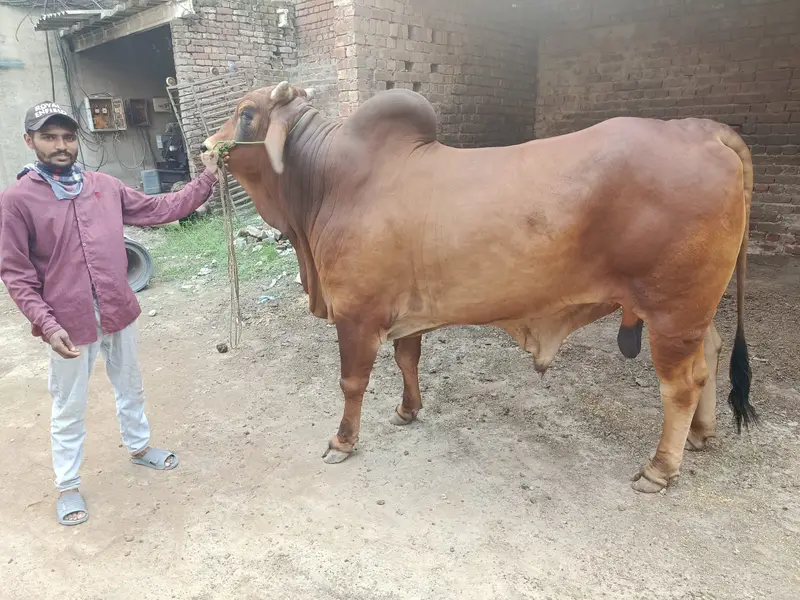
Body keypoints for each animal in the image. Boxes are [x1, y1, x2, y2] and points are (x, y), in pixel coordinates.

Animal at [202, 81, 756, 493]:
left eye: (245, 113)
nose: (207, 148)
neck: (324, 183)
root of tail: (702, 131)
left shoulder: (357, 314)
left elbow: (351, 382)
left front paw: (342, 441)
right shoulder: (405, 312)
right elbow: (407, 358)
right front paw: (407, 410)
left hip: (670, 312)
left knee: (680, 386)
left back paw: (659, 469)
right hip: (690, 313)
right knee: (709, 356)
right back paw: (702, 434)